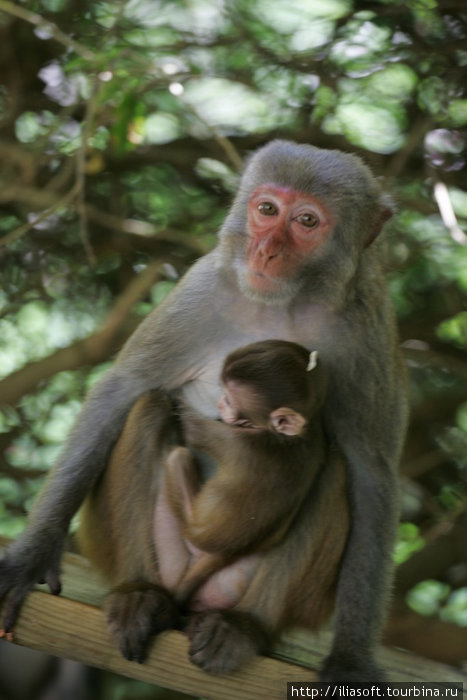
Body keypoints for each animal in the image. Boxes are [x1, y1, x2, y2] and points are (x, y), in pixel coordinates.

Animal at [155, 340, 328, 600]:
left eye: (229, 400)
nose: (219, 402)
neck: (283, 438)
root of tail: (230, 551)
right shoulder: (317, 434)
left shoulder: (238, 441)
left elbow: (190, 429)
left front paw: (170, 399)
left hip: (193, 526)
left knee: (179, 457)